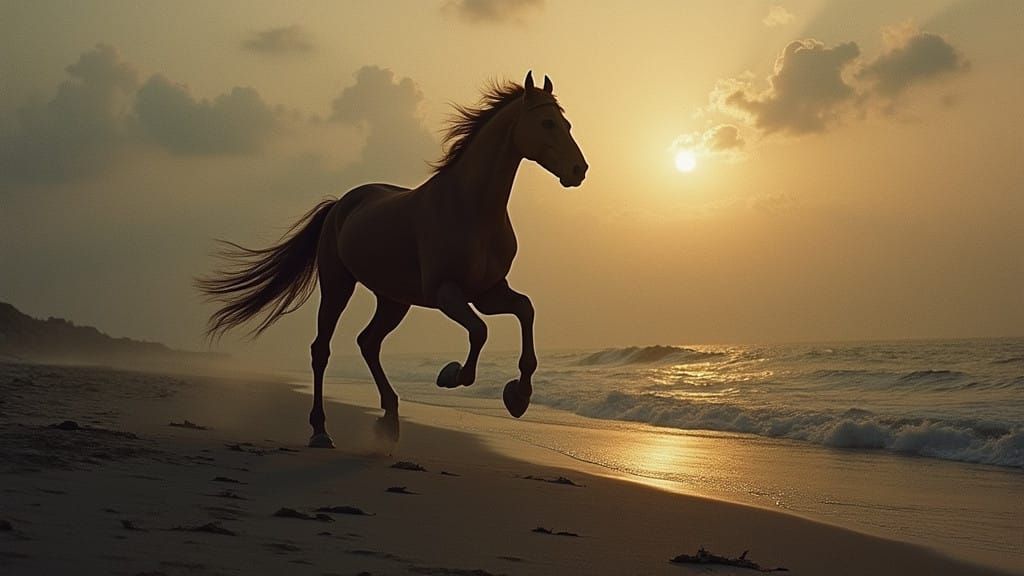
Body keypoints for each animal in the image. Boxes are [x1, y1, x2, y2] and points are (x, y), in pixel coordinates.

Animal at [196, 71, 587, 448]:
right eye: (547, 123)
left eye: (567, 124)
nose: (579, 170)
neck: (470, 209)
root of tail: (340, 204)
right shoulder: (446, 292)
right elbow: (480, 330)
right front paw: (451, 375)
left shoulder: (487, 293)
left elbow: (525, 310)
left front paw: (518, 397)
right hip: (338, 285)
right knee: (322, 350)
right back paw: (321, 431)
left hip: (394, 300)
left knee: (368, 343)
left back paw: (390, 418)